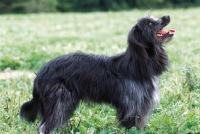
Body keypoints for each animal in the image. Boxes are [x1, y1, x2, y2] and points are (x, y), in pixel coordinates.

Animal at [19, 14, 174, 133]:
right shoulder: (132, 105)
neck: (138, 63)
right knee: (44, 126)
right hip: (60, 100)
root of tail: (42, 72)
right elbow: (131, 124)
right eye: (149, 23)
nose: (167, 16)